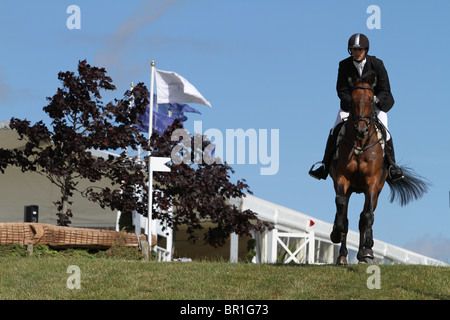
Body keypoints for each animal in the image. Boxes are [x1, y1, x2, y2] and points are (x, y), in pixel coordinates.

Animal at [330, 72, 428, 264]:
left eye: (370, 99)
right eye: (352, 99)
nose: (361, 129)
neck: (360, 144)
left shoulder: (373, 183)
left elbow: (367, 216)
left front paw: (366, 251)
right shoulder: (342, 179)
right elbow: (341, 208)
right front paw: (336, 234)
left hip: (376, 190)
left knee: (365, 217)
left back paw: (364, 252)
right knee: (347, 216)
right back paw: (343, 256)